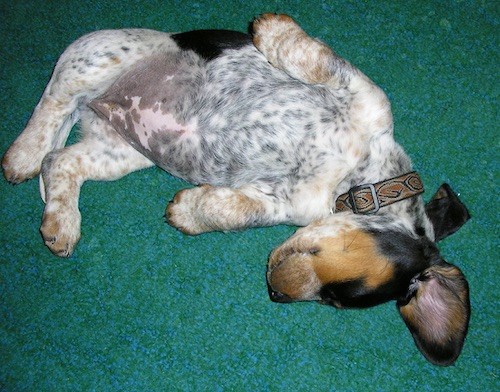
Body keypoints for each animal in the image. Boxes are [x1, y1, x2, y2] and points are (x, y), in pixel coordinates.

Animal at [2, 14, 472, 364]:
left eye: (333, 302)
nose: (275, 293)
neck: (354, 179)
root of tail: (99, 106)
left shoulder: (278, 202)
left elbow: (231, 210)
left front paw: (188, 212)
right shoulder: (362, 92)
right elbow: (316, 57)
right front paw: (272, 28)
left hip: (119, 152)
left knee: (61, 161)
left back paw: (60, 223)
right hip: (100, 60)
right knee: (52, 106)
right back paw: (22, 156)